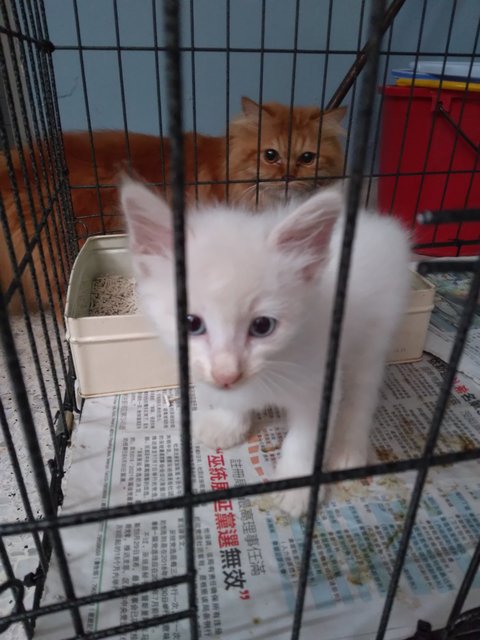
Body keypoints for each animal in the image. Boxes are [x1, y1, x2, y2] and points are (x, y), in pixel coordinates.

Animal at [120, 179, 408, 516]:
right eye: (191, 323)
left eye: (262, 326)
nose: (226, 374)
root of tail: (377, 225)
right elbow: (233, 401)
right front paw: (226, 423)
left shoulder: (318, 379)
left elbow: (305, 438)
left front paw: (297, 484)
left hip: (371, 338)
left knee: (362, 394)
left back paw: (348, 449)